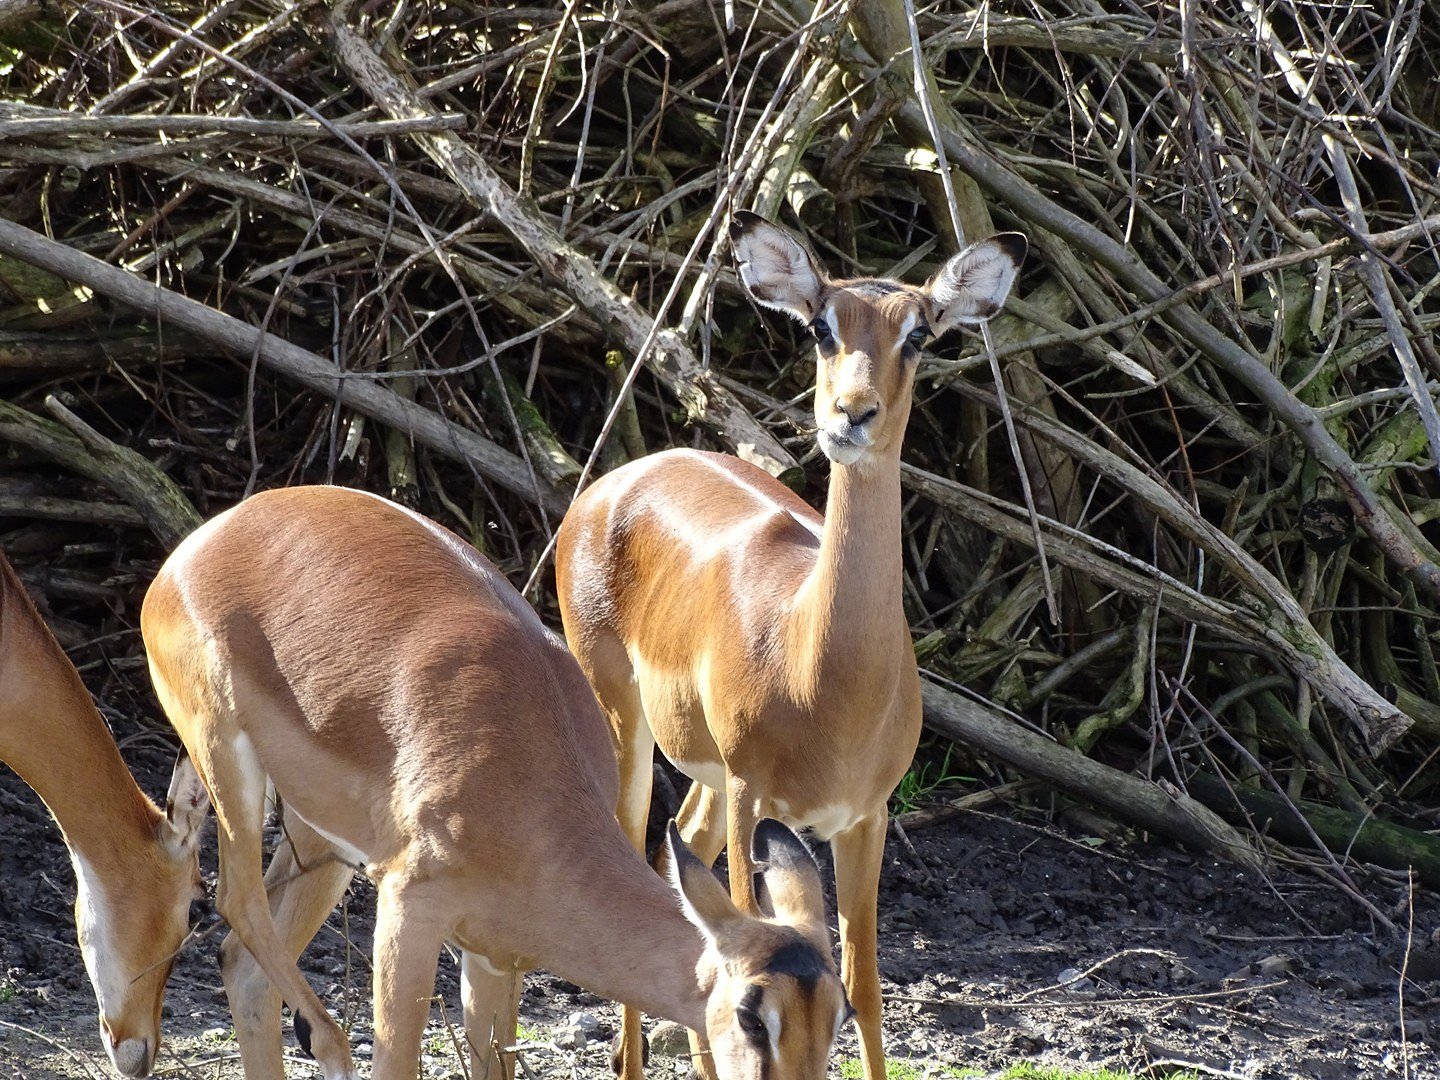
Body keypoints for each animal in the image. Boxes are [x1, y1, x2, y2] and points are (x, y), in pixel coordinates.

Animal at [140, 486, 846, 1080]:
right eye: (753, 1014)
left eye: (841, 1014)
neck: (532, 802)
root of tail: (202, 542)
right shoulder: (410, 906)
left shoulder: (489, 959)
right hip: (226, 761)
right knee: (235, 900)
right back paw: (328, 1042)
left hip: (321, 841)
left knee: (242, 966)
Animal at [552, 213, 1025, 1080]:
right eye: (820, 326)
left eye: (920, 333)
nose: (851, 414)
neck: (823, 673)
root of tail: (612, 483)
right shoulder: (754, 796)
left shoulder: (864, 818)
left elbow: (865, 982)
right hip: (629, 728)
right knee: (638, 857)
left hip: (706, 775)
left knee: (680, 858)